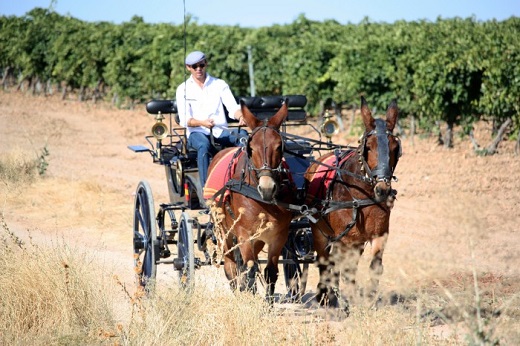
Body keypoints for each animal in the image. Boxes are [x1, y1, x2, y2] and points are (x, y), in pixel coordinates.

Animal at [204, 98, 296, 302]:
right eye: (251, 149)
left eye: (279, 147)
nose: (267, 188)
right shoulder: (244, 234)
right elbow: (250, 268)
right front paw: (249, 297)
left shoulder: (278, 235)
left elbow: (270, 272)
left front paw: (267, 304)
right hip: (224, 231)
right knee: (231, 266)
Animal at [304, 96, 402, 312]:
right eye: (369, 146)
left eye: (394, 148)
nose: (383, 189)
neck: (362, 193)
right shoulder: (347, 240)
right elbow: (346, 271)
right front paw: (350, 301)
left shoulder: (379, 235)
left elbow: (375, 266)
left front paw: (369, 298)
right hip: (321, 233)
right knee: (325, 262)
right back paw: (325, 296)